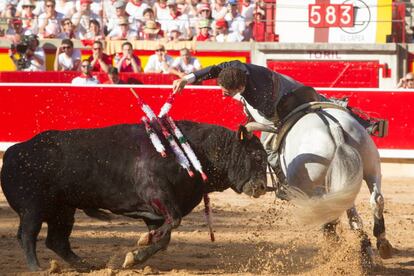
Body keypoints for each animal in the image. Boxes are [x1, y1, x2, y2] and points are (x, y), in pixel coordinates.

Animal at [0, 121, 268, 272]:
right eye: (256, 156)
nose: (262, 187)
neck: (197, 151)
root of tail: (15, 150)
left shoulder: (158, 210)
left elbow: (164, 238)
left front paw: (135, 256)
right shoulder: (158, 193)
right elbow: (173, 221)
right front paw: (140, 244)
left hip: (63, 210)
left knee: (57, 240)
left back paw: (86, 266)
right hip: (33, 207)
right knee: (28, 235)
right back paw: (37, 268)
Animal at [247, 103, 392, 260]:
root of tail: (334, 127)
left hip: (317, 187)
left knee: (330, 211)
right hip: (370, 167)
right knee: (375, 199)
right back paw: (379, 245)